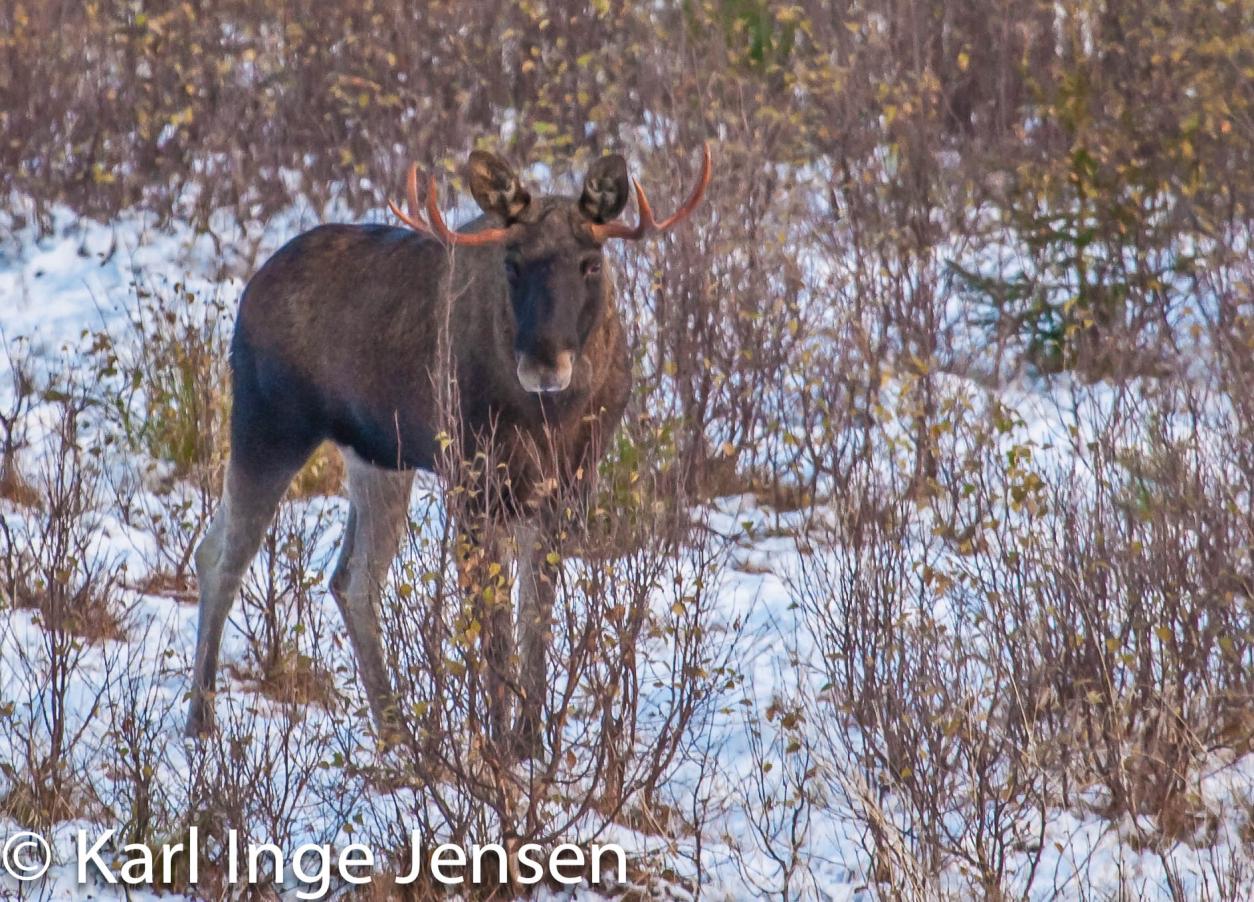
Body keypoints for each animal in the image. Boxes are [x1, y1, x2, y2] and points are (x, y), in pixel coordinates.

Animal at [186, 139, 717, 747]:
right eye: (512, 263)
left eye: (592, 262)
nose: (544, 363)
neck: (551, 416)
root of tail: (250, 290)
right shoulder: (473, 482)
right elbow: (493, 628)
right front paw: (498, 743)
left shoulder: (566, 488)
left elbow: (535, 621)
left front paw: (530, 742)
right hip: (269, 424)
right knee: (223, 556)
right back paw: (202, 720)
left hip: (378, 458)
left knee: (350, 580)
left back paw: (396, 731)